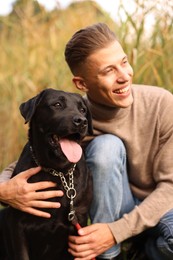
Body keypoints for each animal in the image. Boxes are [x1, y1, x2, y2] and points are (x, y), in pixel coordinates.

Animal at [1, 89, 93, 260]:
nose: (81, 121)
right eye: (57, 104)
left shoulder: (79, 223)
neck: (57, 171)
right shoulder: (16, 224)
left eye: (83, 110)